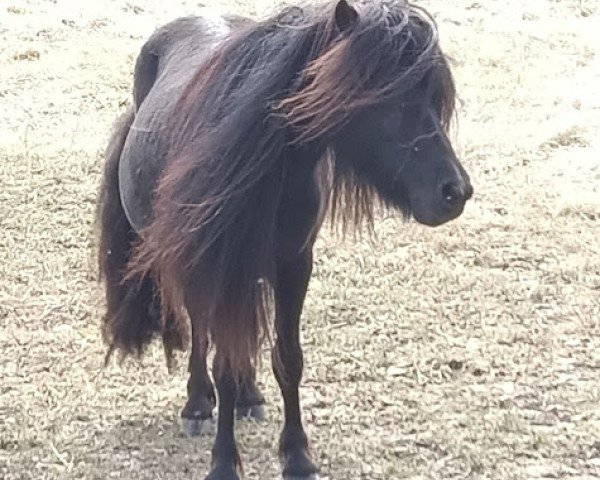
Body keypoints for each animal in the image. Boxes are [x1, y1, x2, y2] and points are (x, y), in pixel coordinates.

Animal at [97, 1, 474, 478]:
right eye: (390, 94)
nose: (455, 192)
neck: (270, 166)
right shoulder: (220, 266)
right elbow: (222, 357)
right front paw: (224, 461)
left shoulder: (294, 264)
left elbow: (288, 358)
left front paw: (296, 455)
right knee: (203, 330)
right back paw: (198, 402)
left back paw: (247, 395)